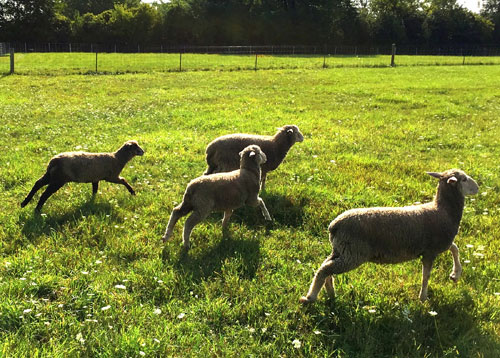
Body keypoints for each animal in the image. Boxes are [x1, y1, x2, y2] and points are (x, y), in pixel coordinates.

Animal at [298, 169, 478, 304]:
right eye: (463, 179)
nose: (477, 187)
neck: (443, 211)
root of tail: (334, 226)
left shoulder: (439, 246)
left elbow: (455, 248)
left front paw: (455, 275)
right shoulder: (430, 252)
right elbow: (426, 275)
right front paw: (423, 297)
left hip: (341, 250)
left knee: (326, 266)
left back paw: (330, 293)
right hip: (353, 254)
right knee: (324, 269)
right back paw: (310, 297)